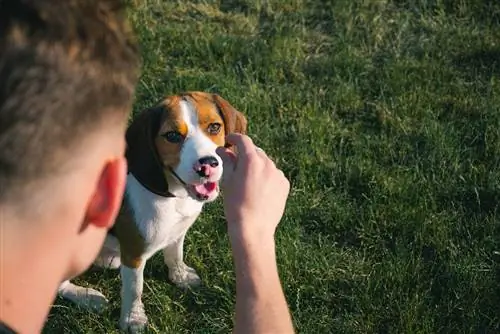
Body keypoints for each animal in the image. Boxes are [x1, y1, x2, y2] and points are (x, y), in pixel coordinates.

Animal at [56, 91, 246, 332]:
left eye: (214, 127)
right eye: (172, 135)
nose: (207, 164)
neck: (172, 196)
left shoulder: (178, 232)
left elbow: (175, 255)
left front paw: (180, 276)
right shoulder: (134, 253)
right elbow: (134, 289)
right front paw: (133, 318)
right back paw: (87, 297)